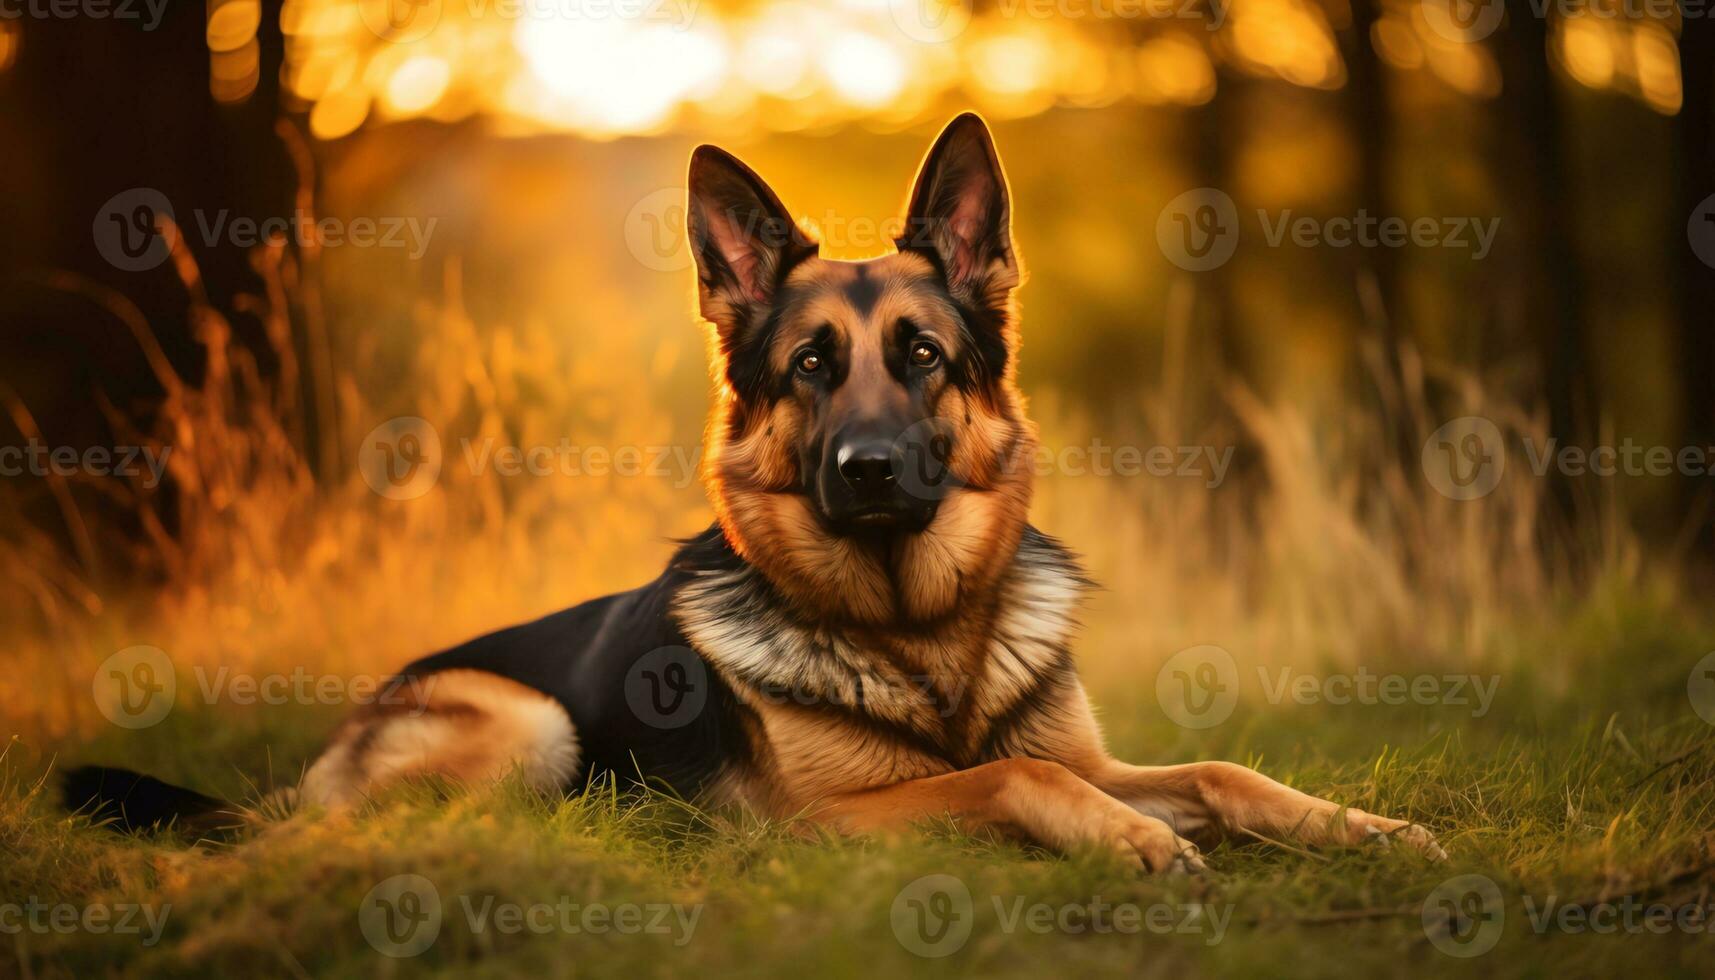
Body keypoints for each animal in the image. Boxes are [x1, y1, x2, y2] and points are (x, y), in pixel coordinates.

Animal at [60, 114, 1440, 875]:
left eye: (922, 356)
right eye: (810, 366)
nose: (866, 468)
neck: (919, 635)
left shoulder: (1100, 751)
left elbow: (1219, 766)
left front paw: (1359, 824)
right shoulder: (831, 820)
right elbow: (1012, 778)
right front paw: (1133, 839)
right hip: (527, 726)